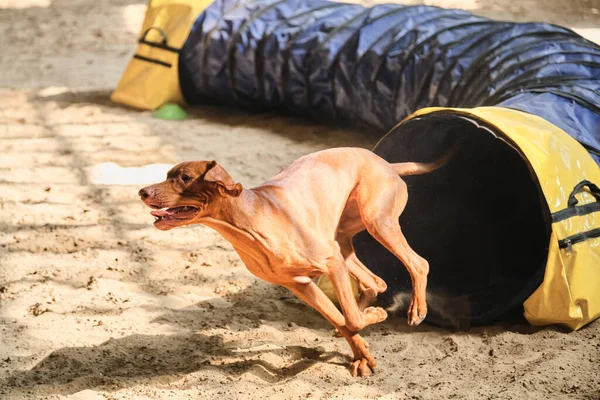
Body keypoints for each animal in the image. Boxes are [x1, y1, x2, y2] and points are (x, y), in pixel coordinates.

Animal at [139, 145, 454, 376]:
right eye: (167, 174)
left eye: (185, 177)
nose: (142, 191)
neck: (250, 224)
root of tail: (387, 164)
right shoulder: (300, 285)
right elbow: (343, 319)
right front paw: (361, 352)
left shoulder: (329, 261)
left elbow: (350, 318)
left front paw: (373, 318)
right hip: (342, 239)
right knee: (375, 282)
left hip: (377, 222)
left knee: (418, 263)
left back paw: (416, 310)